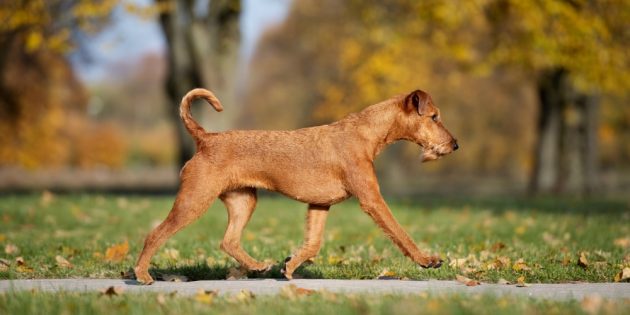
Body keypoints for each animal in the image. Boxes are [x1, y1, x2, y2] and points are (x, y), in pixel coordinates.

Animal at [133, 88, 460, 284]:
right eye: (434, 117)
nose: (455, 145)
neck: (367, 134)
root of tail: (205, 138)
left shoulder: (320, 204)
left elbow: (313, 242)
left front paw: (289, 267)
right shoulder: (371, 199)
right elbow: (400, 232)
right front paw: (427, 260)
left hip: (243, 201)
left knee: (229, 241)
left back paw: (257, 266)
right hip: (195, 200)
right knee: (156, 233)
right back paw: (142, 275)